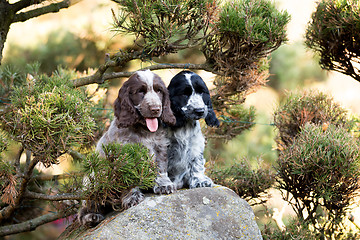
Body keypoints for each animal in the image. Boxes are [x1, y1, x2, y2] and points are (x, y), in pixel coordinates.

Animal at [78, 69, 176, 227]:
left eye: (159, 91)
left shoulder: (159, 146)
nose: (156, 109)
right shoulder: (124, 157)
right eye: (140, 92)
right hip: (93, 181)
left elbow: (161, 168)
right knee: (84, 209)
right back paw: (91, 217)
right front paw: (132, 197)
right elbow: (127, 180)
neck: (144, 130)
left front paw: (164, 185)